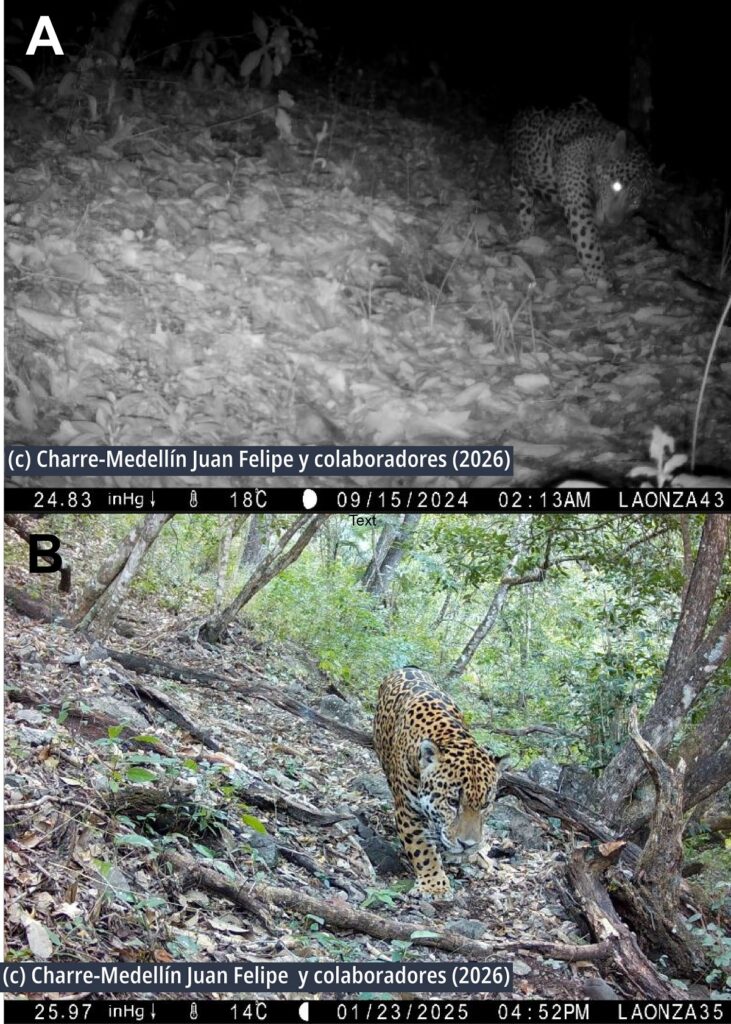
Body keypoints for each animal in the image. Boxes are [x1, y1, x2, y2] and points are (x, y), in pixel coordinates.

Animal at [372, 666, 501, 898]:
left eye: (485, 805)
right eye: (452, 802)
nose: (467, 845)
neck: (451, 736)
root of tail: (407, 667)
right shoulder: (408, 810)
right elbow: (422, 849)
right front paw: (435, 886)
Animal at [506, 99, 654, 285]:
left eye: (635, 202)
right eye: (616, 186)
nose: (612, 223)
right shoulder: (578, 203)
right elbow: (588, 238)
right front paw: (600, 275)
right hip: (517, 172)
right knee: (523, 200)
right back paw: (527, 229)